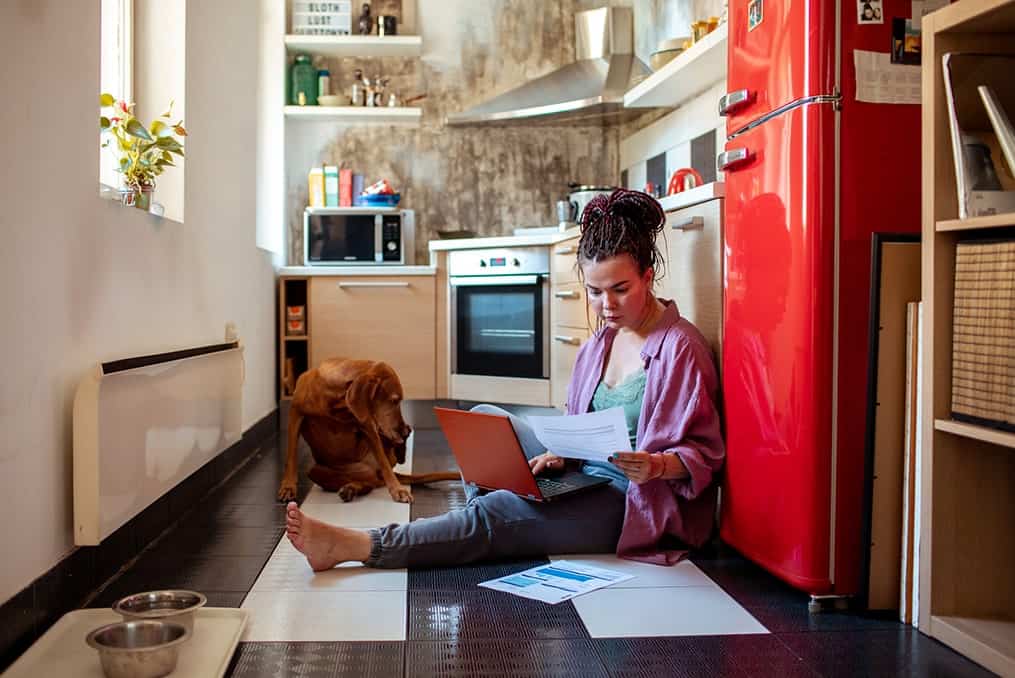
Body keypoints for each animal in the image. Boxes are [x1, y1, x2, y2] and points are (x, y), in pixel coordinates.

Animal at [274, 357, 456, 501]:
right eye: (394, 400)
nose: (402, 430)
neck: (335, 402)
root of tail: (373, 473)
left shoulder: (367, 424)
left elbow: (382, 459)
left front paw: (397, 489)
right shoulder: (295, 413)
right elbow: (291, 455)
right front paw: (288, 486)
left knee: (372, 482)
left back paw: (353, 487)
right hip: (315, 471)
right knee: (365, 483)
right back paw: (351, 488)